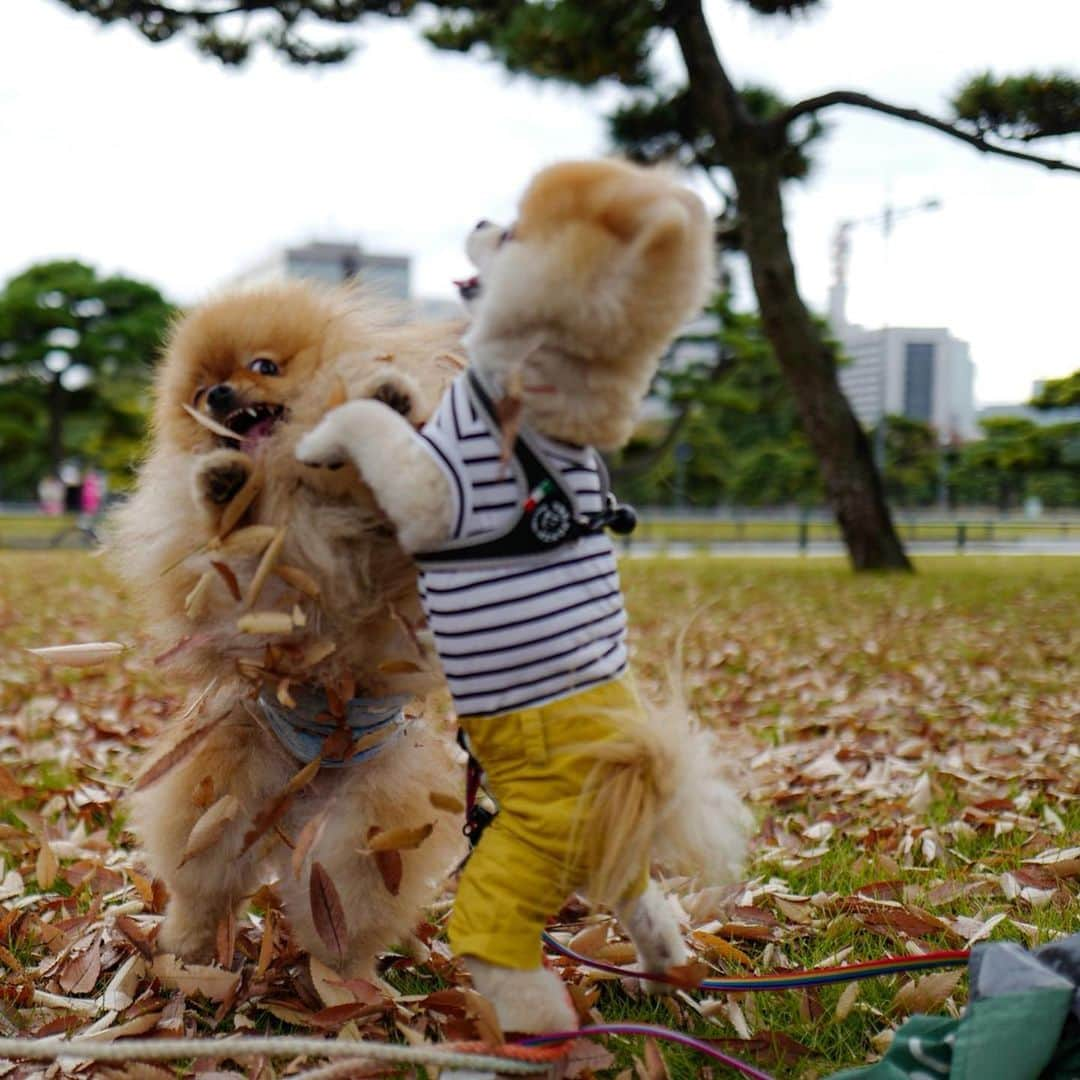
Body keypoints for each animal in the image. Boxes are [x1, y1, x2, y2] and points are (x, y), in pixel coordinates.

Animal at [111, 282, 470, 976]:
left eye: (264, 366)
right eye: (203, 391)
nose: (221, 397)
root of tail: (295, 802)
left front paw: (386, 407)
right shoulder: (244, 592)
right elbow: (231, 561)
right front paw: (225, 487)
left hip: (365, 831)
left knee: (345, 913)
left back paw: (347, 981)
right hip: (222, 792)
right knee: (205, 886)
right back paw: (188, 952)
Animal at [295, 157, 751, 1028]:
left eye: (506, 233)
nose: (478, 219)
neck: (541, 405)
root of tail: (636, 776)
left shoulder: (443, 493)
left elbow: (374, 430)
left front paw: (325, 433)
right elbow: (397, 412)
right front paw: (390, 385)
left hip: (508, 881)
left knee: (524, 983)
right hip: (611, 861)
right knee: (645, 905)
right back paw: (666, 972)